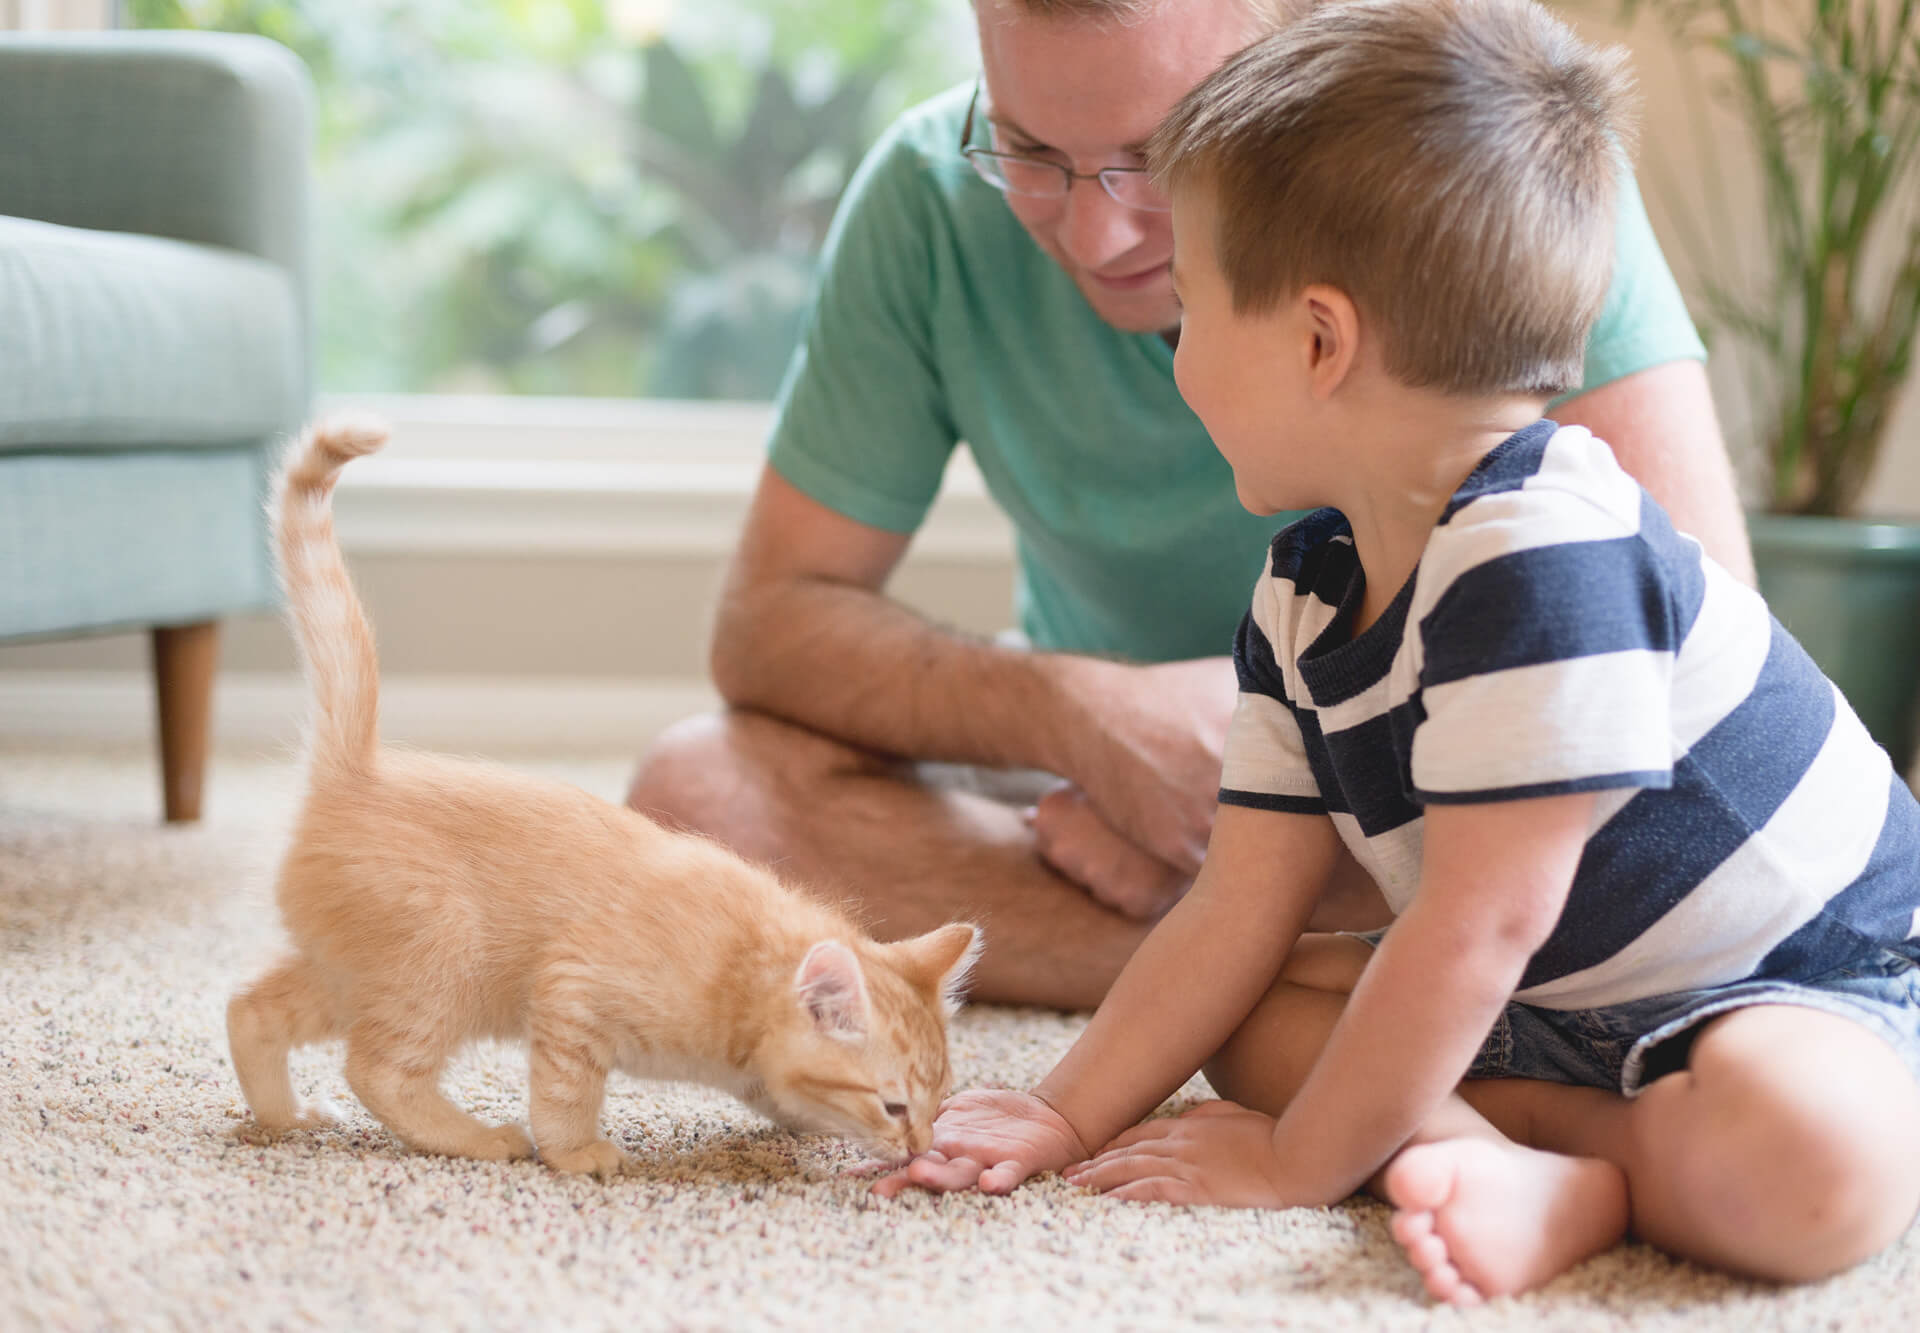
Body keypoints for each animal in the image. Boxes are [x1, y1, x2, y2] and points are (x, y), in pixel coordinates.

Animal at [226, 418, 983, 1183]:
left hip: (353, 972)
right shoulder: (571, 990)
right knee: (376, 1067)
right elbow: (566, 1091)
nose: (920, 1144)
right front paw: (578, 1151)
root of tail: (356, 772)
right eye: (893, 1105)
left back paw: (283, 1116)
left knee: (250, 1008)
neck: (742, 967)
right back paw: (473, 1137)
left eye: (940, 1099)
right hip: (440, 965)